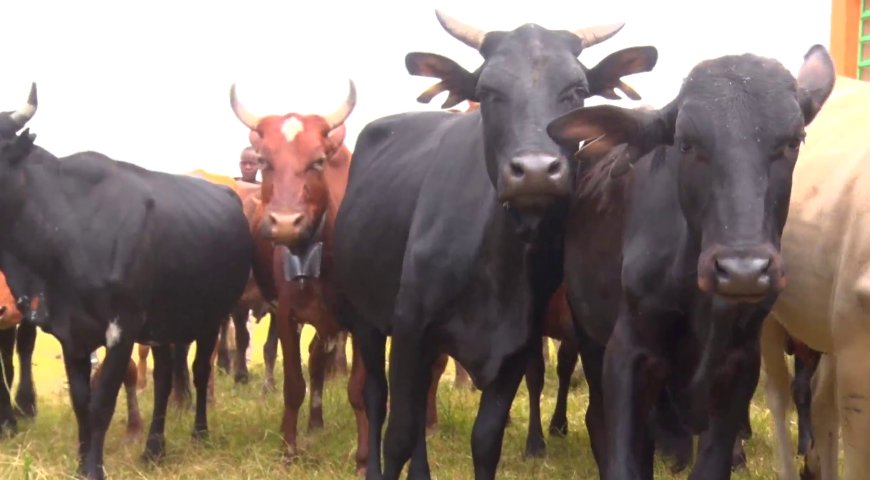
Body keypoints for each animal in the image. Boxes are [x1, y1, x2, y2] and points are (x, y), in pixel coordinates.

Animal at [0, 124, 255, 480]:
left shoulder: (123, 329)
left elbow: (102, 402)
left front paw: (94, 468)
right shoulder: (71, 334)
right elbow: (81, 401)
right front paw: (81, 465)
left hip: (211, 317)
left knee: (201, 371)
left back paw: (200, 433)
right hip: (163, 325)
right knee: (163, 379)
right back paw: (154, 449)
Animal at [330, 9, 656, 478]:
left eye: (577, 90)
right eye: (487, 92)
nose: (535, 171)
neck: (494, 267)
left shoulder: (515, 346)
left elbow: (485, 441)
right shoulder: (410, 329)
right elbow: (398, 436)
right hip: (366, 319)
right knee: (376, 397)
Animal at [552, 44, 836, 476]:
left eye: (794, 140)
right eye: (686, 143)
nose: (742, 272)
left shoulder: (739, 365)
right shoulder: (628, 354)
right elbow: (623, 459)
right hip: (587, 334)